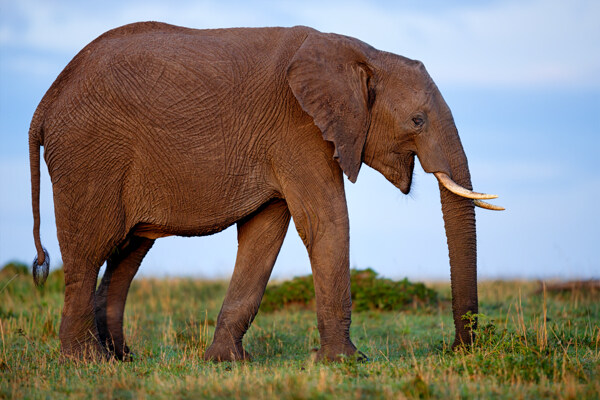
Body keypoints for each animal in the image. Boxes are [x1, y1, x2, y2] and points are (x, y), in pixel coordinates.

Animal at [30, 21, 504, 362]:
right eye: (418, 121)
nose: (456, 350)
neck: (361, 54)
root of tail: (45, 101)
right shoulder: (298, 130)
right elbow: (326, 222)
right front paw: (346, 362)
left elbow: (264, 235)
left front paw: (227, 362)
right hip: (88, 156)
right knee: (89, 251)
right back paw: (85, 362)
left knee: (127, 254)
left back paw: (121, 359)